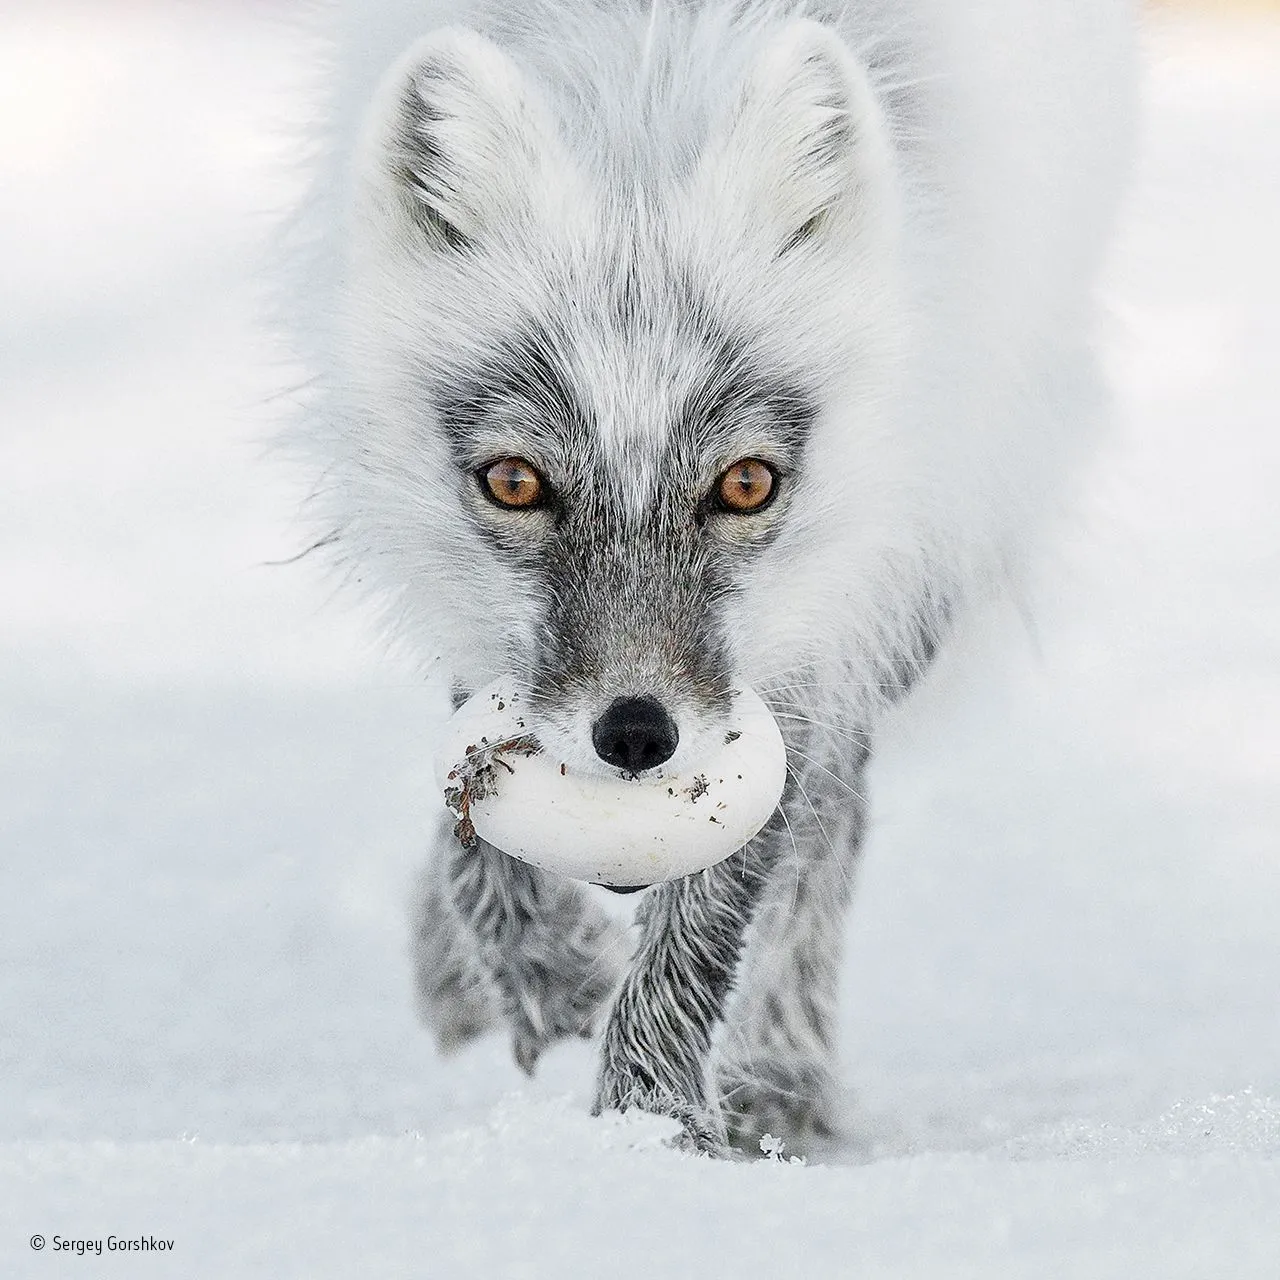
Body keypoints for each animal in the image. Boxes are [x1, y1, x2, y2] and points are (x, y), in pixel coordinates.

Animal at [288, 0, 1131, 1157]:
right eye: (515, 481)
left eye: (744, 483)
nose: (637, 735)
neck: (645, 89)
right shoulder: (477, 618)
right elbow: (475, 816)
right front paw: (546, 976)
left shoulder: (813, 632)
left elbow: (719, 906)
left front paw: (649, 1132)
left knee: (831, 823)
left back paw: (780, 1076)